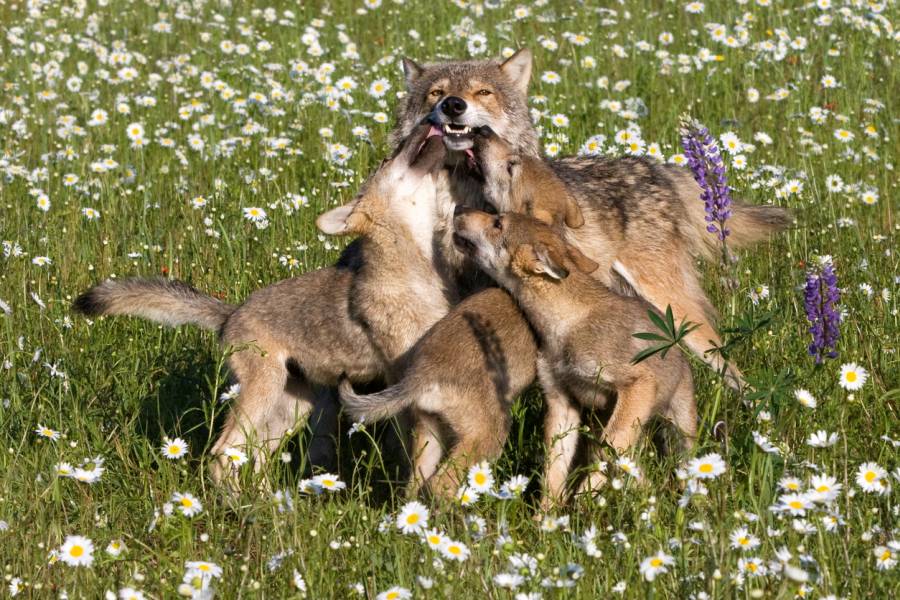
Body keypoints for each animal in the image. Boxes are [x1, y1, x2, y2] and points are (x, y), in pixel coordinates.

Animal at [392, 45, 788, 384]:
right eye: (436, 93)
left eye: (483, 92)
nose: (453, 105)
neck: (457, 193)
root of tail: (656, 168)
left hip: (675, 309)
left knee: (728, 366)